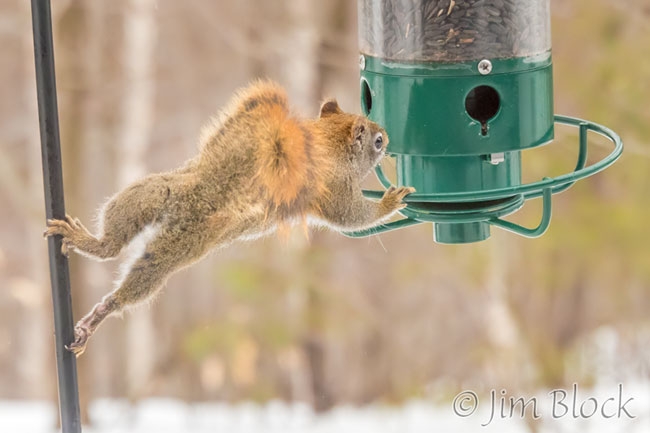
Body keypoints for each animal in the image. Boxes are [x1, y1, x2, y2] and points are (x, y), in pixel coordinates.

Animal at [44, 80, 415, 356]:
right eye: (377, 141)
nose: (387, 137)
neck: (329, 142)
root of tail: (191, 201)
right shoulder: (334, 190)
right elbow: (351, 216)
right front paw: (390, 201)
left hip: (147, 194)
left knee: (115, 241)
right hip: (176, 249)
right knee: (128, 273)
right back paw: (97, 300)